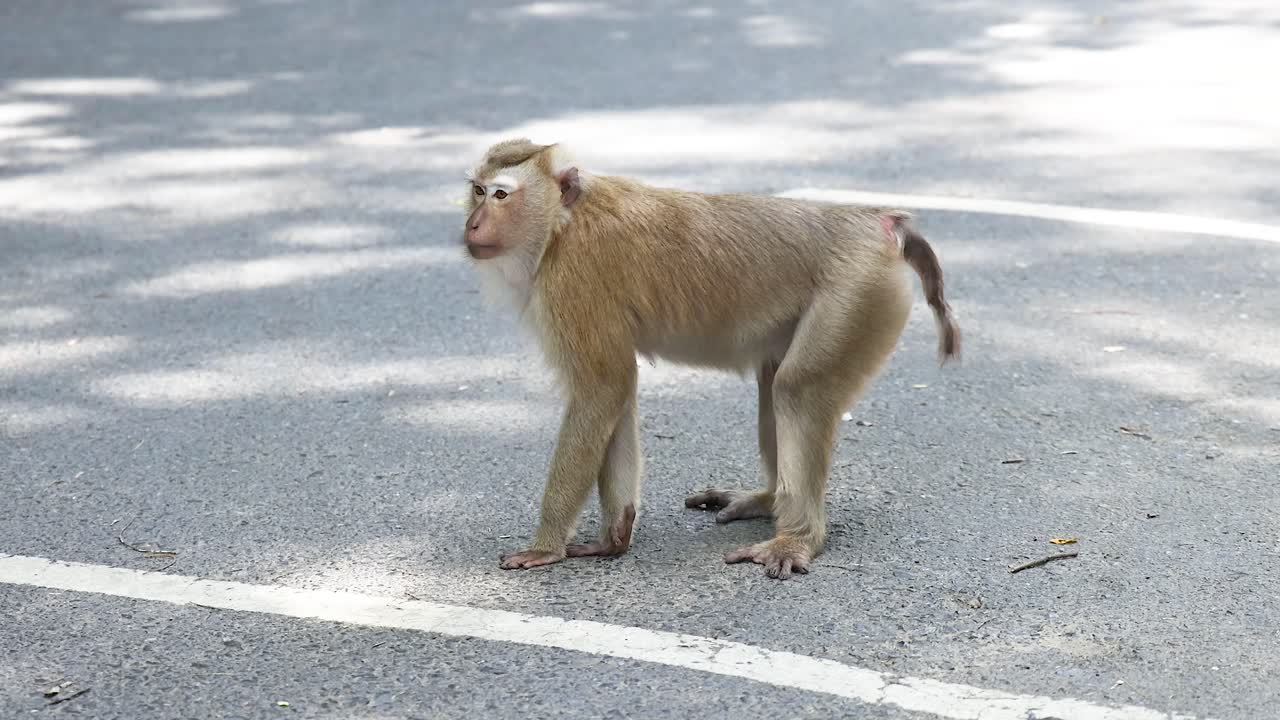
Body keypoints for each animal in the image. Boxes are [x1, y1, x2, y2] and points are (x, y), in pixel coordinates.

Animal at [462, 138, 959, 579]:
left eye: (501, 194)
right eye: (478, 190)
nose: (471, 224)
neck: (559, 225)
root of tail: (878, 220)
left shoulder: (573, 280)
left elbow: (601, 387)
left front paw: (546, 546)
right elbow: (615, 393)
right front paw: (613, 536)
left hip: (856, 291)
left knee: (797, 391)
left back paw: (798, 538)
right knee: (773, 386)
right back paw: (768, 499)